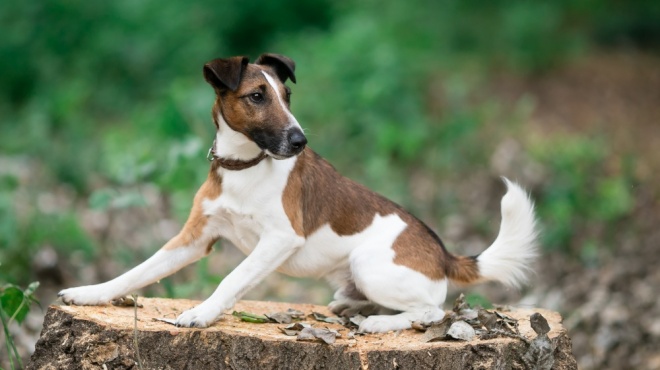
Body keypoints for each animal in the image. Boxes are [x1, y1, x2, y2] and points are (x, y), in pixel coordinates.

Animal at [59, 52, 540, 332]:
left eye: (287, 95)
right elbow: (137, 272)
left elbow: (231, 279)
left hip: (370, 264)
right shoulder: (195, 237)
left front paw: (201, 313)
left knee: (433, 311)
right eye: (257, 96)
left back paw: (380, 324)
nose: (299, 140)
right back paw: (356, 309)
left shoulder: (279, 239)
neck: (246, 167)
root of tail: (444, 255)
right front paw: (90, 294)